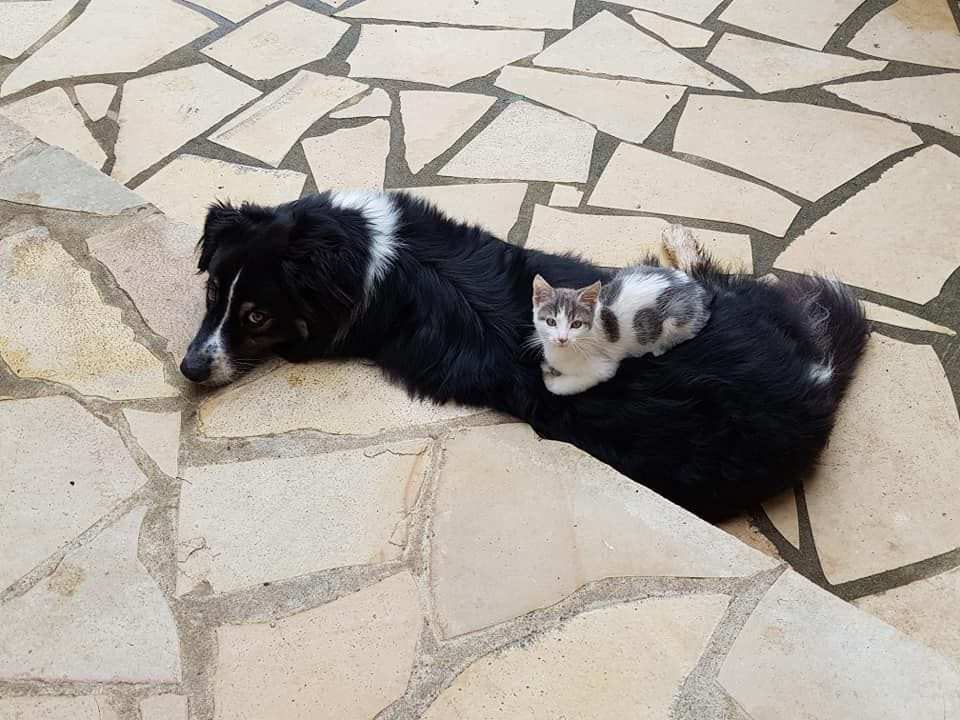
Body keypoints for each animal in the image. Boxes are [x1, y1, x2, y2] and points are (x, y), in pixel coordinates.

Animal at [532, 264, 712, 395]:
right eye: (551, 322)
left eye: (576, 324)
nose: (562, 339)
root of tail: (694, 287)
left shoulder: (604, 368)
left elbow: (560, 386)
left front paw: (550, 377)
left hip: (675, 321)